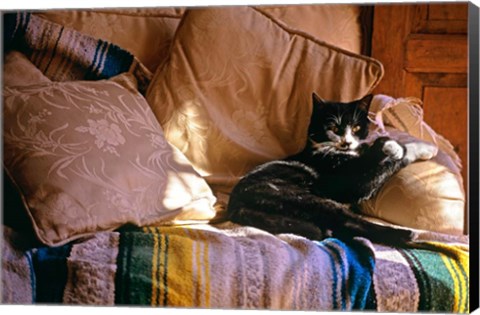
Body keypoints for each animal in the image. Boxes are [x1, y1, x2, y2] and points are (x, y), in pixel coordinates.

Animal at [227, 92, 436, 246]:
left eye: (356, 127)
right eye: (334, 128)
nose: (347, 142)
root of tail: (235, 205)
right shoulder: (353, 183)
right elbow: (389, 158)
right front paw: (404, 147)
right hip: (305, 198)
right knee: (349, 221)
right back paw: (407, 235)